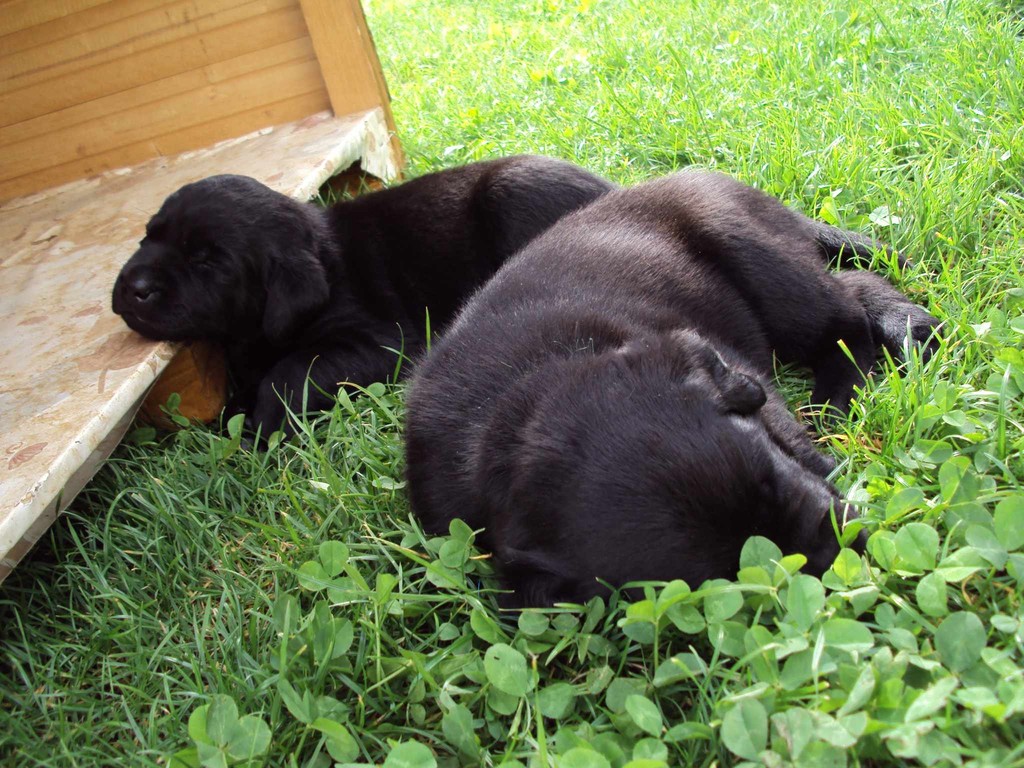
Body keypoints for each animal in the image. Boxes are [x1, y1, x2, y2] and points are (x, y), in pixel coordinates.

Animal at [109, 154, 610, 438]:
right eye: (148, 236)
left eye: (208, 262)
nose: (134, 288)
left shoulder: (380, 340)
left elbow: (291, 370)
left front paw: (264, 423)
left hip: (511, 195)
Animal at [401, 171, 937, 610]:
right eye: (728, 575)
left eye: (773, 482)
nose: (854, 551)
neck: (513, 400)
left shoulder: (739, 370)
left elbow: (786, 428)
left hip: (760, 259)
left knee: (844, 312)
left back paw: (850, 384)